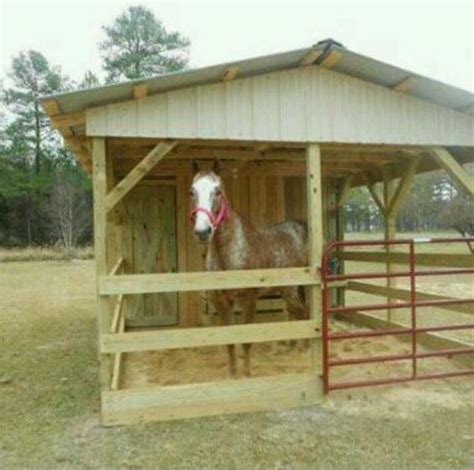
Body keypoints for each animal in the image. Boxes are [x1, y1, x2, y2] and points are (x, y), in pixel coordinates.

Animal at [191, 162, 310, 378]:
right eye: (191, 191)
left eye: (217, 191)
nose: (203, 232)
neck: (230, 253)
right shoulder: (222, 301)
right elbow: (230, 341)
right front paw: (232, 374)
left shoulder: (248, 300)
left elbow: (246, 340)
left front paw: (246, 373)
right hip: (287, 290)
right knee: (295, 313)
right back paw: (292, 344)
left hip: (291, 290)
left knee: (303, 312)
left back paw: (304, 348)